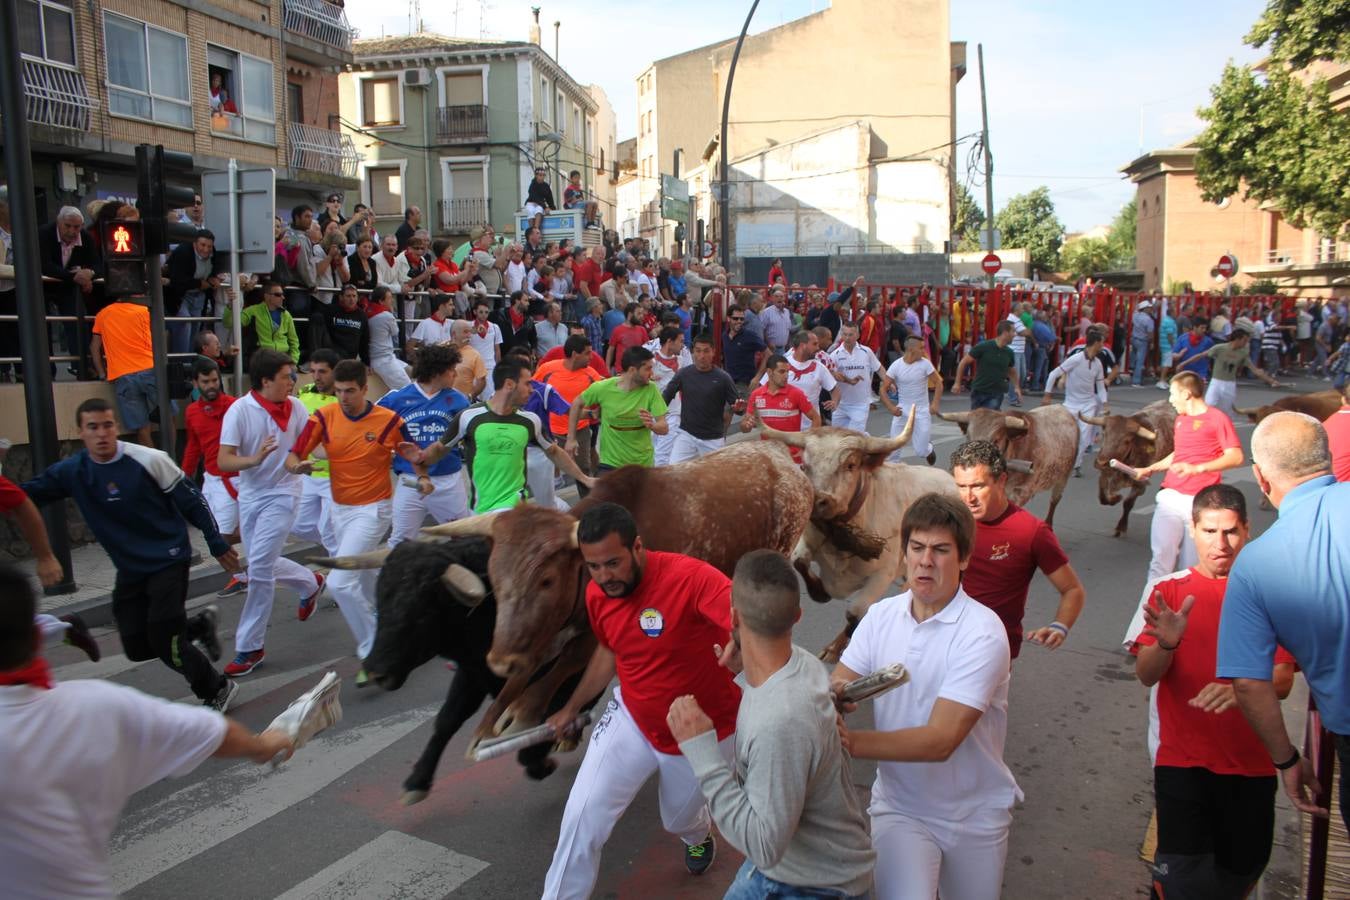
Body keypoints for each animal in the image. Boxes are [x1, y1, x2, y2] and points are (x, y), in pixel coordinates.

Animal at [939, 402, 1074, 528]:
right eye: (968, 436)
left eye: (996, 439)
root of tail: (1061, 408)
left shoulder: (1021, 493)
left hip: (1063, 477)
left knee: (1054, 500)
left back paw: (1049, 524)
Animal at [1080, 399, 1177, 534]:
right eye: (1104, 434)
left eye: (1126, 441)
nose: (1101, 462)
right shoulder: (1105, 475)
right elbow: (1103, 497)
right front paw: (1115, 497)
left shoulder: (1140, 484)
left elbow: (1128, 502)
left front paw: (1121, 526)